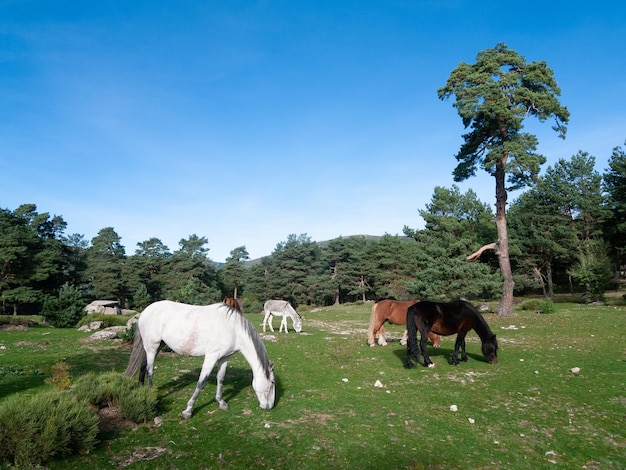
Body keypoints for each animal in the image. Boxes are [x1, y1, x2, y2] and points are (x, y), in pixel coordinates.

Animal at [125, 302, 274, 418]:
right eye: (272, 383)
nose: (269, 406)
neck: (233, 329)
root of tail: (145, 311)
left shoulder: (224, 357)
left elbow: (220, 378)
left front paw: (221, 402)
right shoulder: (211, 356)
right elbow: (201, 382)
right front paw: (188, 410)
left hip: (157, 346)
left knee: (143, 366)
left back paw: (142, 392)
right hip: (152, 346)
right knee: (150, 370)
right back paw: (152, 397)